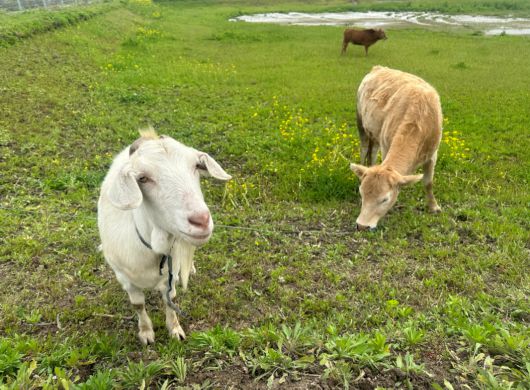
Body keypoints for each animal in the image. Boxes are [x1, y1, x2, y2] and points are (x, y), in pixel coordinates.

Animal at [98, 129, 230, 344]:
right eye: (142, 178)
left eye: (196, 165)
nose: (201, 220)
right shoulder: (125, 278)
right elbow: (138, 305)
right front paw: (146, 333)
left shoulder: (171, 272)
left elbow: (171, 299)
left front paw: (175, 329)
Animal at [348, 65, 440, 230]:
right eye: (361, 193)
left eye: (385, 199)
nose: (362, 225)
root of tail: (378, 68)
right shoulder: (386, 148)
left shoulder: (432, 154)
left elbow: (428, 183)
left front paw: (433, 207)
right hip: (360, 122)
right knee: (364, 149)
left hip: (376, 133)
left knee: (372, 152)